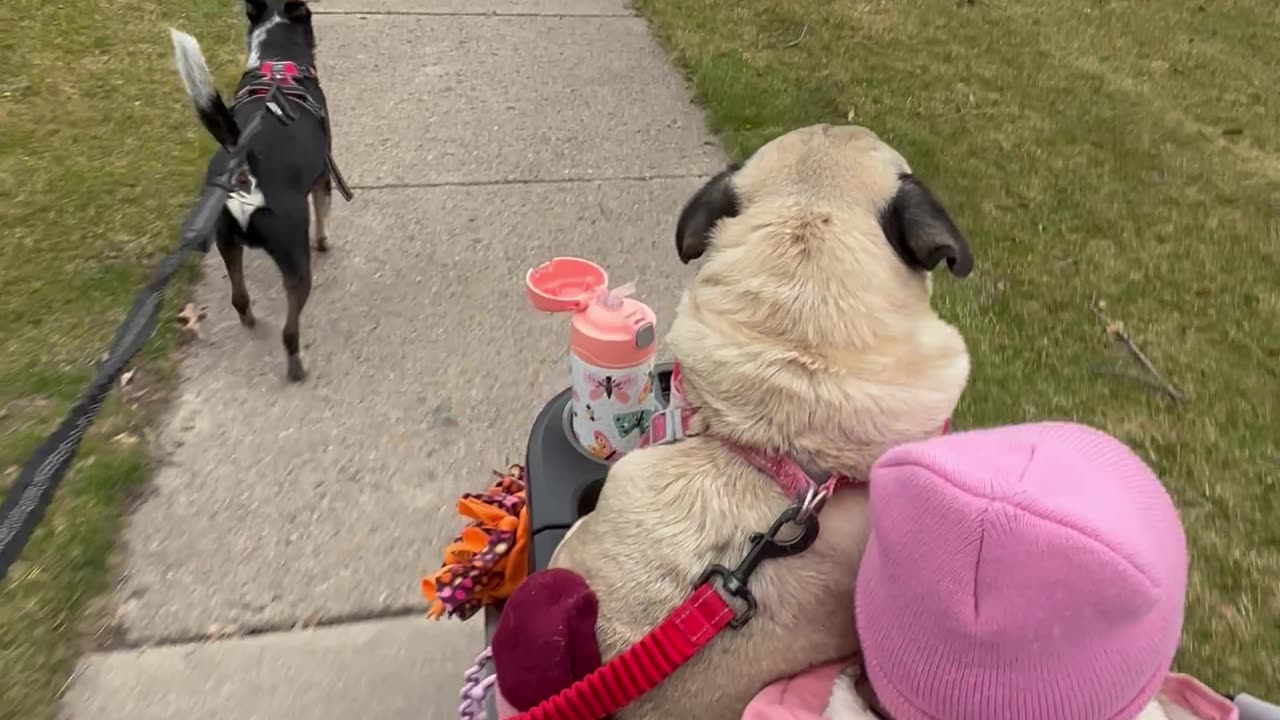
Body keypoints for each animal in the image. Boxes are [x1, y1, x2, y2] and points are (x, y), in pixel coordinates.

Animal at [172, 0, 337, 381]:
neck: (276, 64)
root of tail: (244, 163)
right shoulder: (323, 176)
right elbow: (323, 215)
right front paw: (324, 242)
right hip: (294, 261)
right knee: (289, 330)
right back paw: (295, 366)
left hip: (226, 241)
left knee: (240, 297)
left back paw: (249, 318)